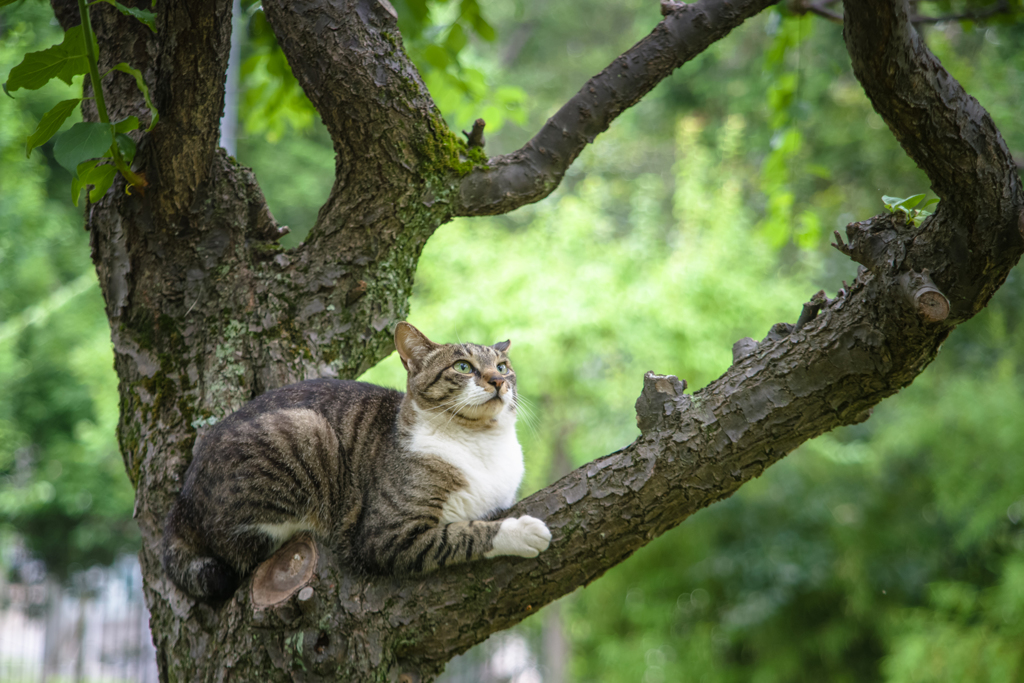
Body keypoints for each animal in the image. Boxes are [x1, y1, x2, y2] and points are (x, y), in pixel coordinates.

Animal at [160, 323, 552, 602]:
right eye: (463, 366)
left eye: (502, 366)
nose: (499, 380)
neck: (480, 443)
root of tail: (180, 504)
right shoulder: (385, 536)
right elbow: (462, 534)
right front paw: (520, 532)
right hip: (307, 430)